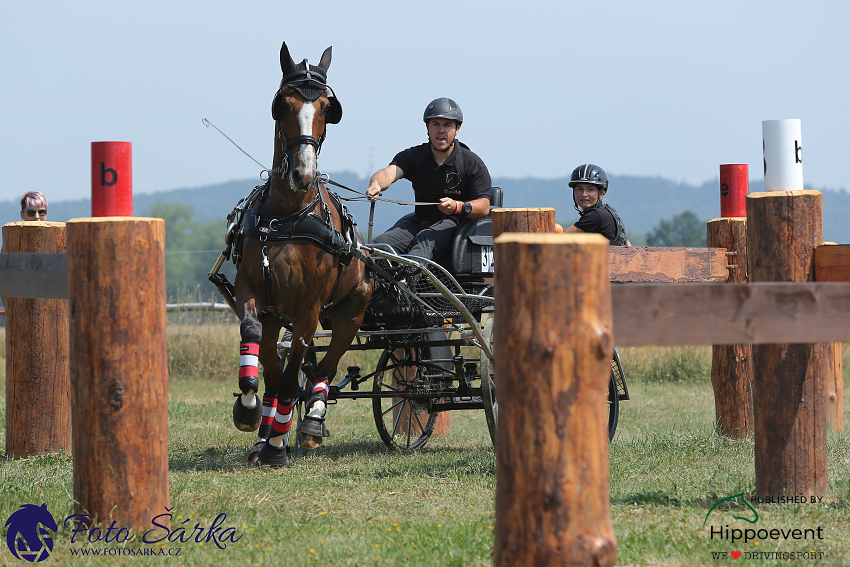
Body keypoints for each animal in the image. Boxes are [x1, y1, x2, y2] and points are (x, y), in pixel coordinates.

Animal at [229, 43, 372, 466]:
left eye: (327, 106)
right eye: (283, 103)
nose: (302, 172)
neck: (289, 216)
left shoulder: (309, 309)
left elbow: (295, 377)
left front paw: (279, 445)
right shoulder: (252, 291)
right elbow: (256, 342)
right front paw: (249, 409)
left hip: (352, 310)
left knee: (326, 365)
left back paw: (310, 422)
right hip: (280, 316)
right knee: (275, 367)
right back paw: (265, 429)